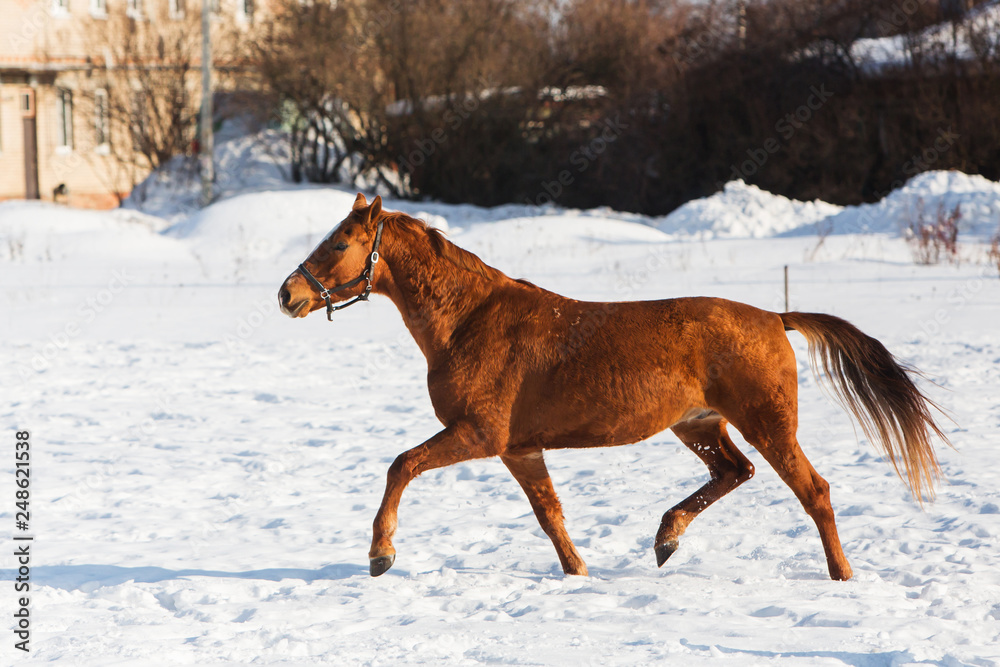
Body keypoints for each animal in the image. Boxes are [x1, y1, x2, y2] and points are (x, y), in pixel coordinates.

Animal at [278, 193, 949, 580]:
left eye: (341, 241)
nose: (288, 294)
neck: (471, 321)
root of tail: (773, 317)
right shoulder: (519, 448)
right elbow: (549, 513)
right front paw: (578, 574)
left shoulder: (479, 434)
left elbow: (401, 465)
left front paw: (380, 554)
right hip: (698, 425)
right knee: (734, 472)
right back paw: (666, 539)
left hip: (766, 424)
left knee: (814, 490)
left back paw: (841, 575)